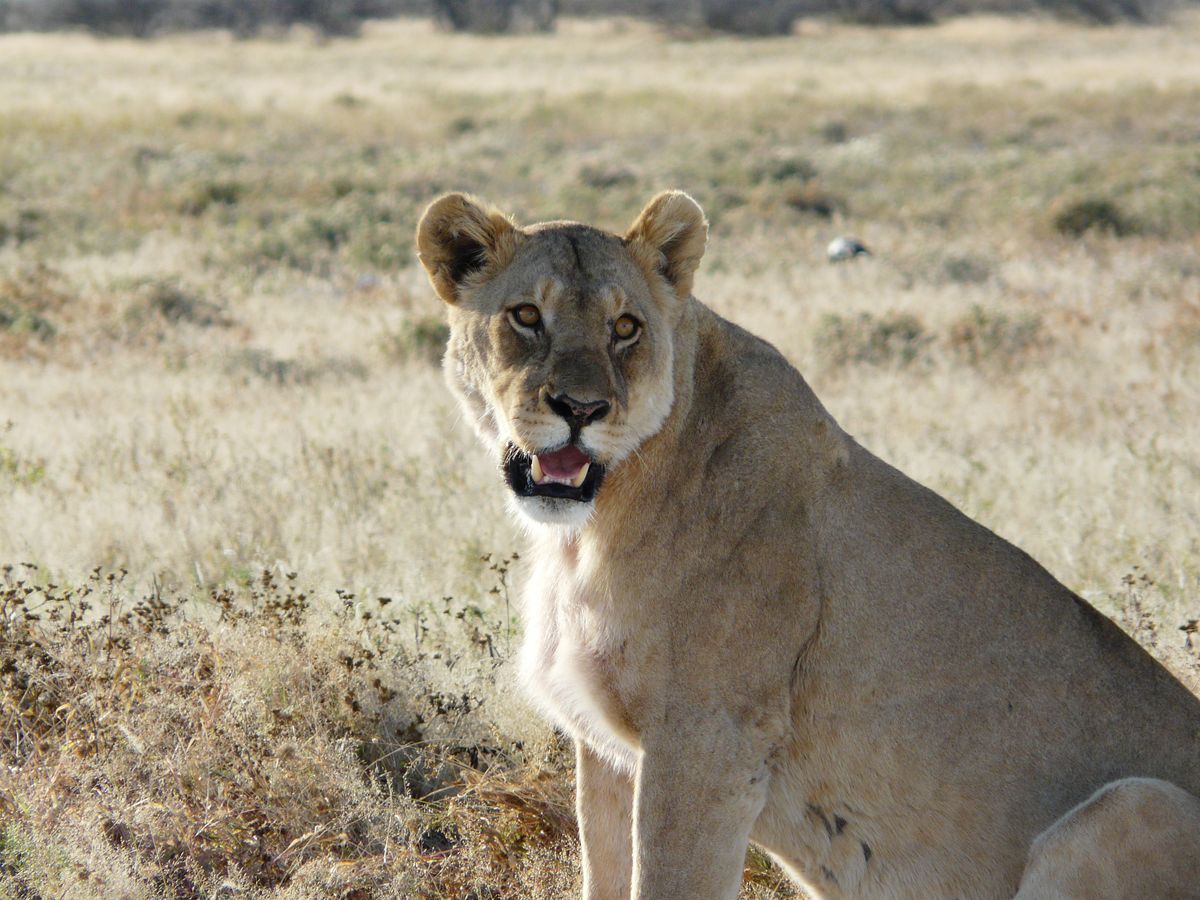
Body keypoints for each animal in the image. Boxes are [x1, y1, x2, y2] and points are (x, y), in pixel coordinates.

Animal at [415, 190, 1200, 899]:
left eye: (626, 327)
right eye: (526, 316)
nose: (580, 410)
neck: (589, 531)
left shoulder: (707, 742)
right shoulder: (606, 749)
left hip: (1133, 803)